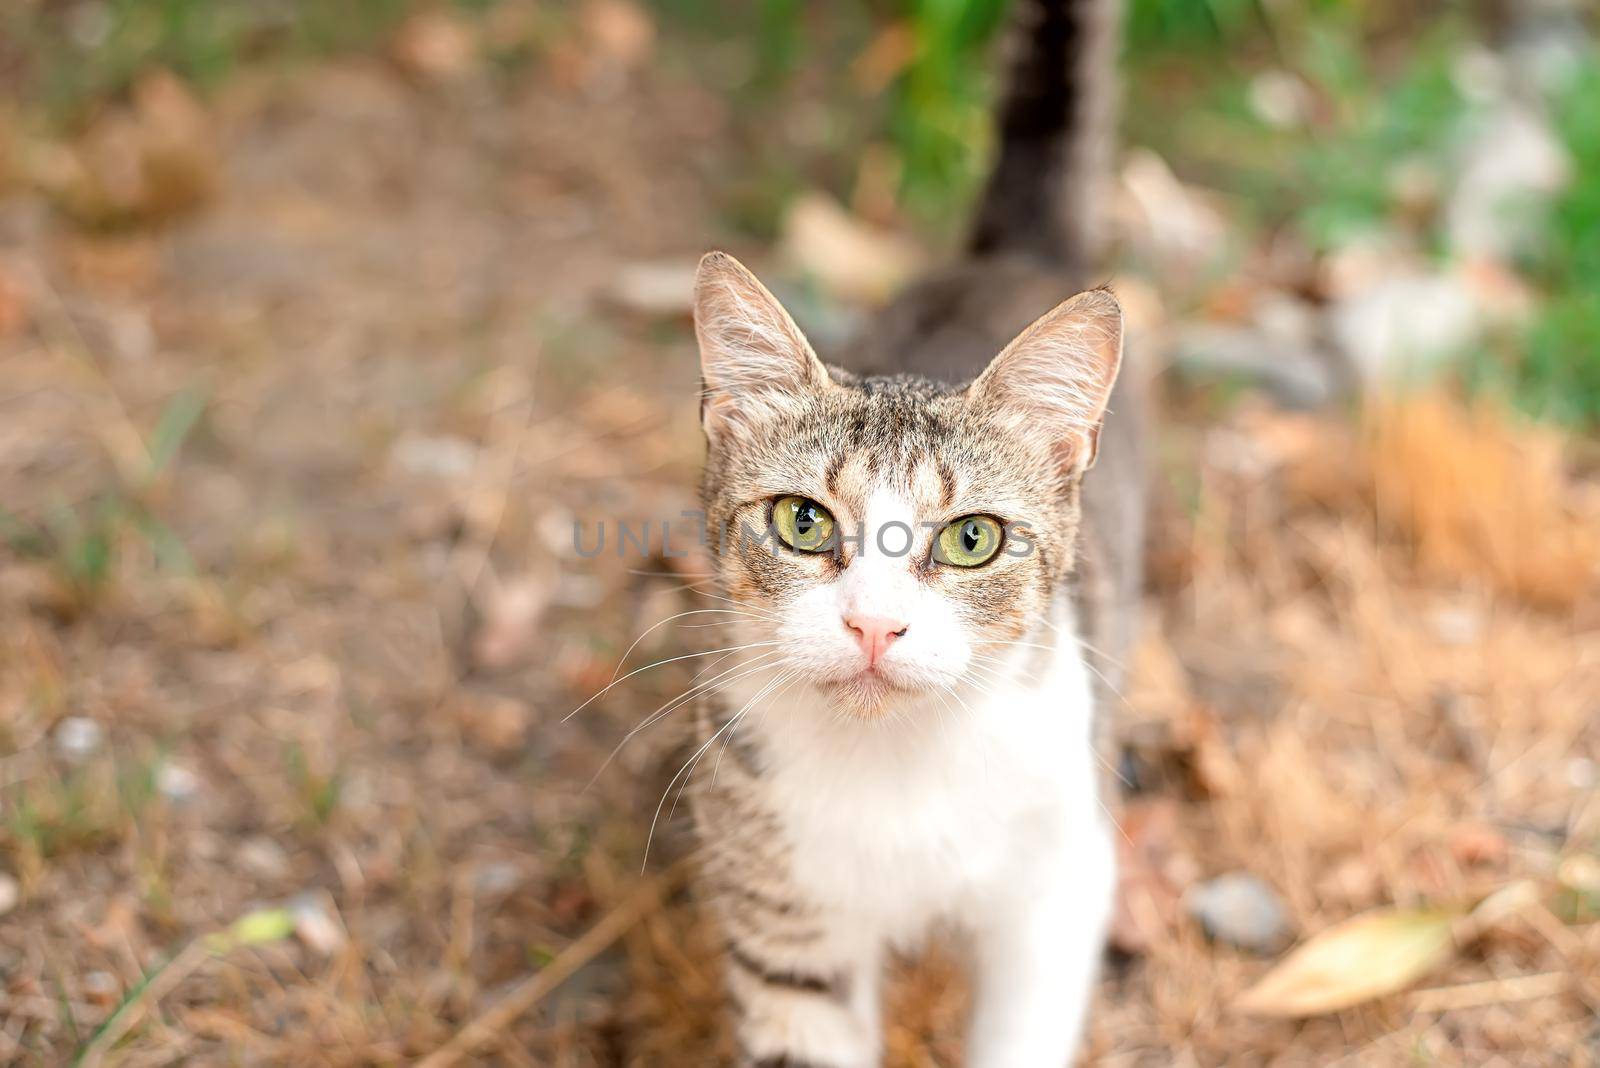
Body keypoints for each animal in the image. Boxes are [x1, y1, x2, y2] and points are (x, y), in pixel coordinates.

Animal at [684, 2, 1139, 1068]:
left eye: (971, 539)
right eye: (803, 521)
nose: (874, 626)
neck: (895, 765)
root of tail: (1009, 255)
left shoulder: (1057, 889)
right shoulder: (785, 921)